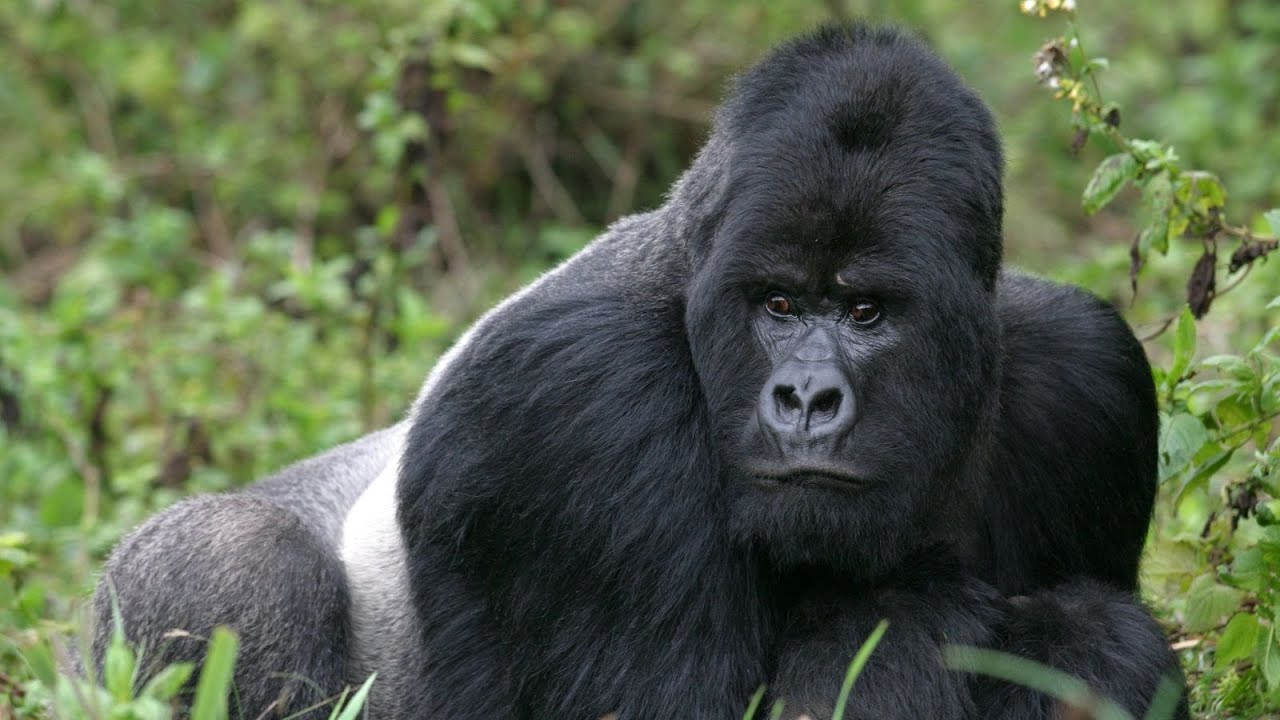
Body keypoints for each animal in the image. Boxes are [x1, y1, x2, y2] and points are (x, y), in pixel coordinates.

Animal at [94, 22, 1182, 717]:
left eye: (865, 312)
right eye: (777, 305)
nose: (805, 399)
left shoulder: (1089, 379)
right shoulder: (580, 403)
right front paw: (919, 606)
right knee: (238, 558)